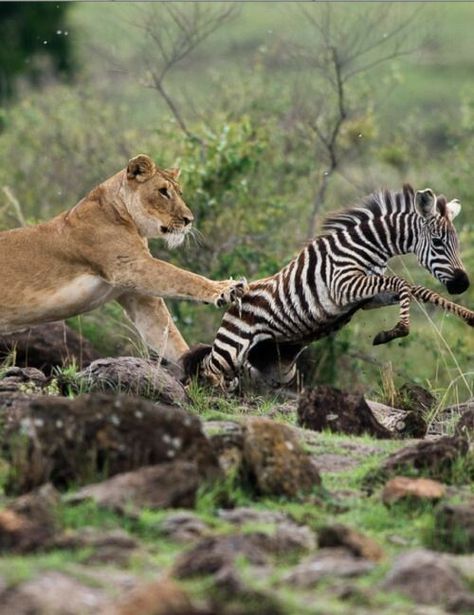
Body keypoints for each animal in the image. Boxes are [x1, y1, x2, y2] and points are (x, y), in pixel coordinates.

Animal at [182, 185, 474, 390]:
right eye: (438, 243)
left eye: (456, 244)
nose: (463, 284)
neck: (368, 246)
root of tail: (234, 303)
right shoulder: (343, 285)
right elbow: (402, 283)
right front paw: (396, 330)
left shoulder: (368, 298)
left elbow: (418, 291)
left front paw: (468, 316)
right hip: (231, 349)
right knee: (207, 367)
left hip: (275, 366)